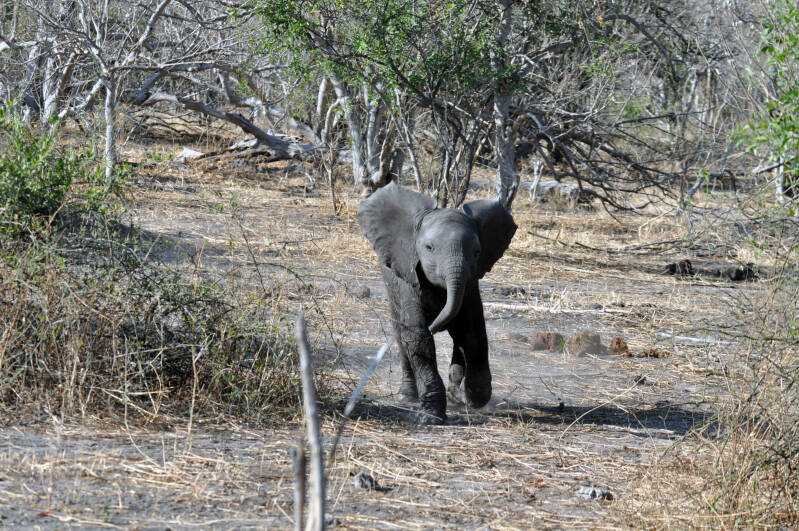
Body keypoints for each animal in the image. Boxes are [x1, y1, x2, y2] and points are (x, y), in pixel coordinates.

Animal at [358, 182, 517, 424]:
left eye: (477, 252)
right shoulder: (408, 277)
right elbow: (417, 337)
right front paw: (430, 417)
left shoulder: (470, 283)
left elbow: (473, 333)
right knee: (401, 338)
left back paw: (456, 396)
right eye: (429, 248)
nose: (436, 326)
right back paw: (407, 398)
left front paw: (474, 398)